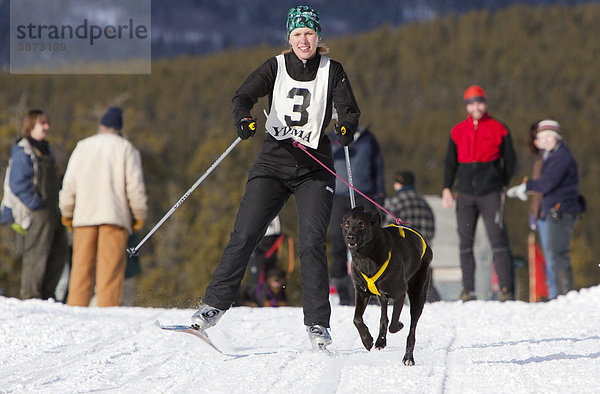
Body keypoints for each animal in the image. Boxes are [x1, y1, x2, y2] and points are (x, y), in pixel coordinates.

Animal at [342, 206, 432, 366]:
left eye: (361, 225)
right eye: (346, 224)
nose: (350, 237)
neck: (366, 256)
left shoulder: (399, 293)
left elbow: (394, 324)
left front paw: (399, 325)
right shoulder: (361, 293)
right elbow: (357, 318)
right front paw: (367, 340)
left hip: (418, 294)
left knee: (412, 329)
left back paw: (408, 357)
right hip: (382, 297)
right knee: (384, 316)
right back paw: (380, 341)